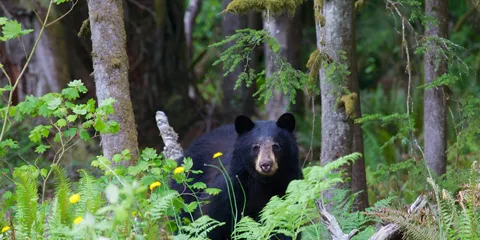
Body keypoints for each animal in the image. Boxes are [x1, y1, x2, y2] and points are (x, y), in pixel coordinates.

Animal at [171, 113, 302, 239]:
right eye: (255, 147)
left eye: (276, 146)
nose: (265, 164)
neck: (262, 182)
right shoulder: (229, 190)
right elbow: (209, 220)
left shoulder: (288, 186)